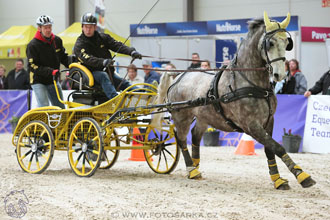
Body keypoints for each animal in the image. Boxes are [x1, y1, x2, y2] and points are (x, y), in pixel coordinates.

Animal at [157, 12, 318, 190]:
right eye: (270, 43)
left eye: (287, 43)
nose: (280, 75)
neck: (252, 83)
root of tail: (178, 76)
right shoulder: (251, 125)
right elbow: (277, 146)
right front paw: (302, 175)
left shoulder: (269, 120)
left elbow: (270, 148)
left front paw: (277, 179)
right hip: (182, 117)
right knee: (181, 139)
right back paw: (191, 169)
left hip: (204, 117)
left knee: (195, 136)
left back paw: (196, 166)